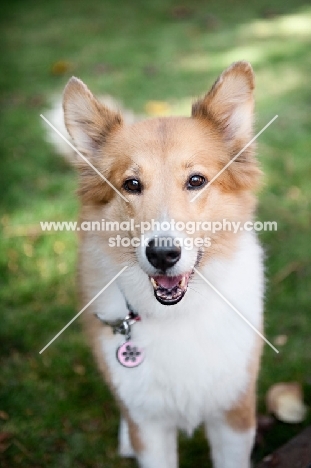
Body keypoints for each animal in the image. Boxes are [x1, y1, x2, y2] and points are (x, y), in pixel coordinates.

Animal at [59, 60, 266, 466]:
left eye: (196, 180)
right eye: (132, 184)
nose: (162, 254)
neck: (177, 315)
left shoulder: (234, 415)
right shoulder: (149, 426)